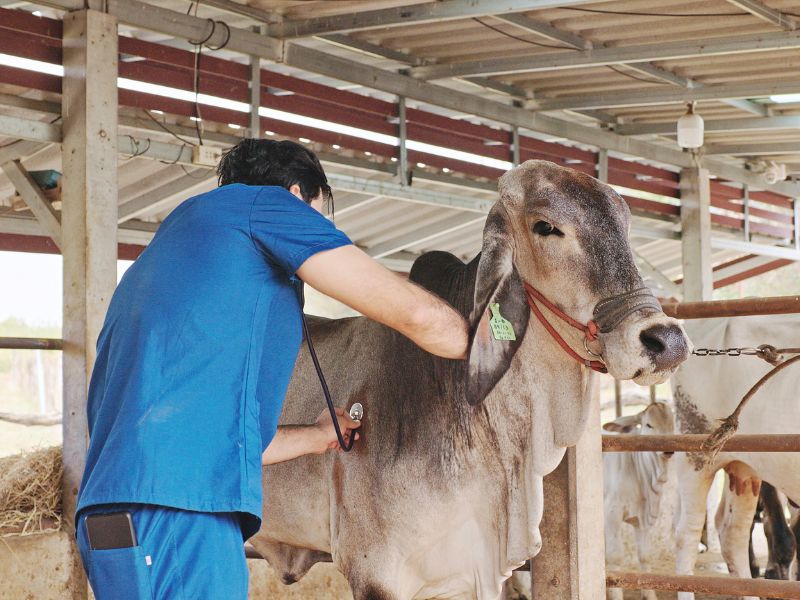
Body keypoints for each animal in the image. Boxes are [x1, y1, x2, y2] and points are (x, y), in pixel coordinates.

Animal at [608, 404, 676, 600]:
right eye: (648, 425)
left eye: (672, 424)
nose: (668, 450)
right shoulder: (611, 515)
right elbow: (615, 557)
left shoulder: (643, 519)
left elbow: (645, 556)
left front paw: (649, 595)